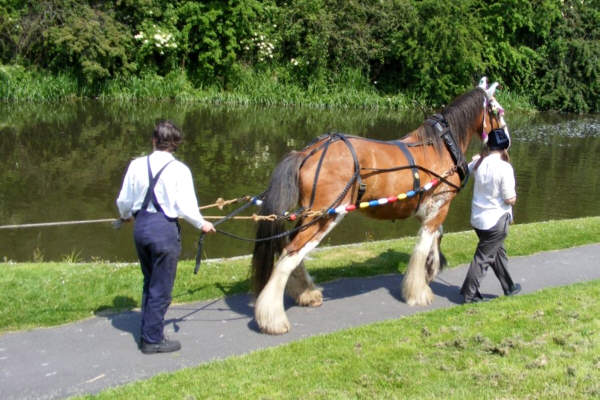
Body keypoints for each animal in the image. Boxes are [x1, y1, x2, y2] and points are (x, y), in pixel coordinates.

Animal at [251, 79, 508, 334]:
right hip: (325, 217)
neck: (442, 146)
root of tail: (306, 152)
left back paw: (306, 293)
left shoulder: (427, 209)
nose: (506, 143)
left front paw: (433, 268)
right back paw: (272, 318)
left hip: (310, 215)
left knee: (292, 251)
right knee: (290, 254)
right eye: (498, 111)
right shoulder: (440, 205)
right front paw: (419, 291)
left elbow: (436, 237)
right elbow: (424, 245)